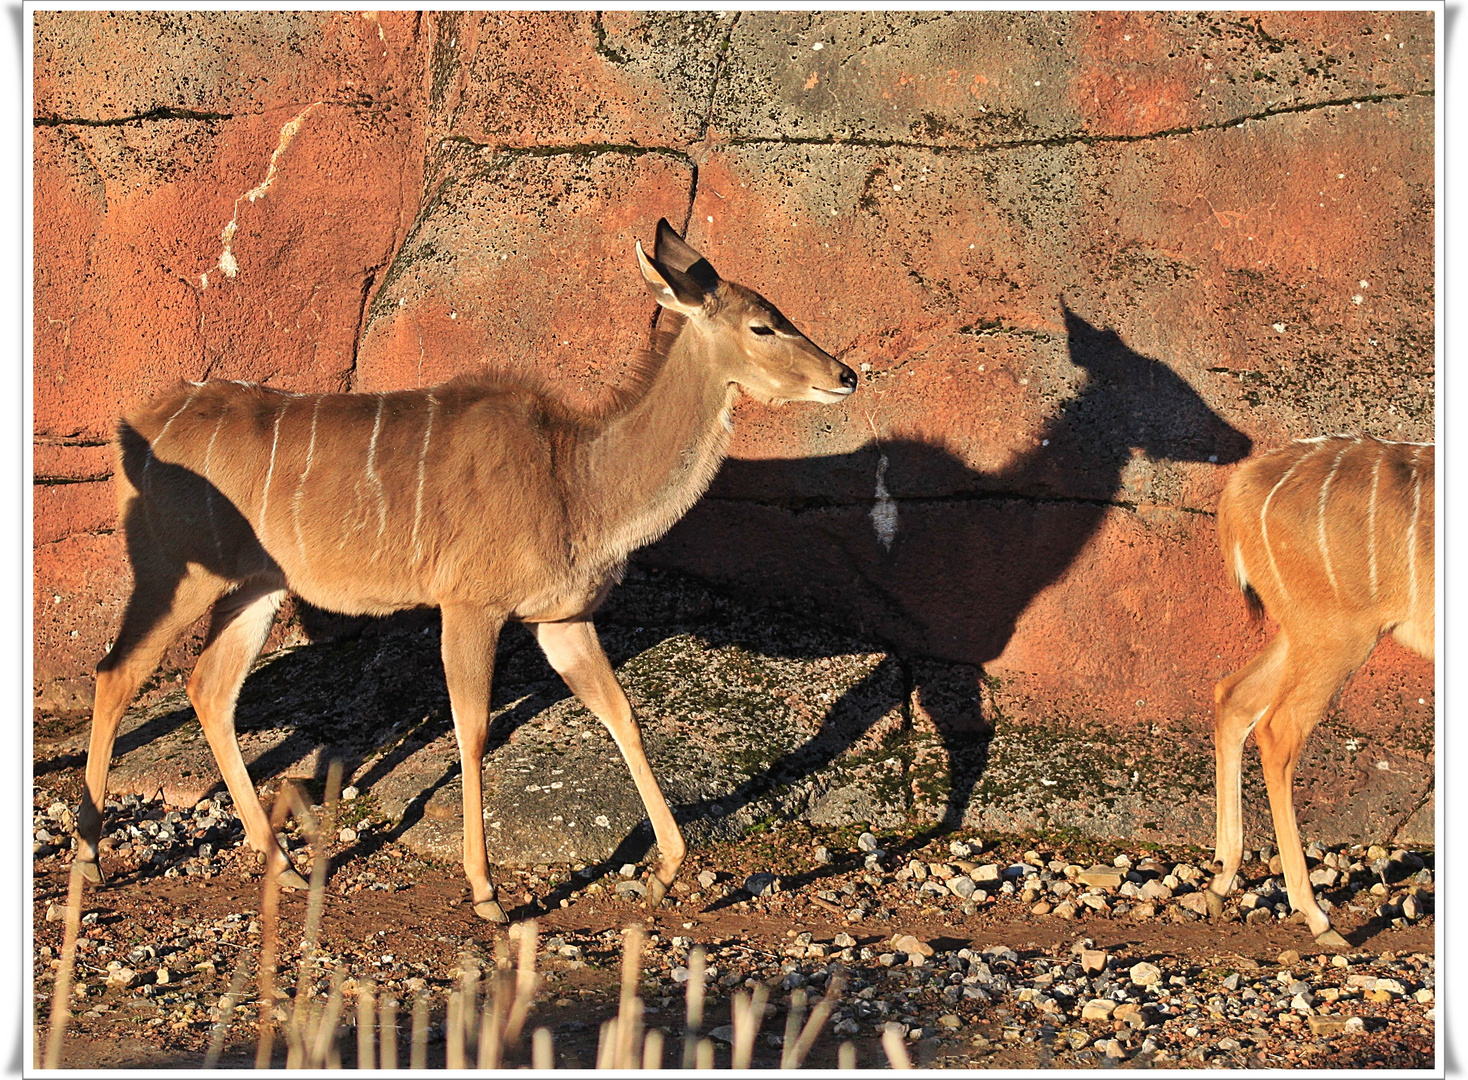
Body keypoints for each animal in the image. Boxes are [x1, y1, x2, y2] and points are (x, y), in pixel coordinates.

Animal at [77, 220, 857, 921]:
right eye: (762, 325)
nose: (846, 375)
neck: (575, 481)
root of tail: (135, 429)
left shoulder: (561, 618)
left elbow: (622, 714)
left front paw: (664, 875)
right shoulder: (470, 605)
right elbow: (473, 730)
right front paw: (486, 894)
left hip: (255, 588)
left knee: (208, 688)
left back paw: (288, 866)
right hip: (175, 572)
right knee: (116, 672)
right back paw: (89, 856)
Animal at [1203, 434, 1432, 950]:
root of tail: (1240, 490)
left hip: (1301, 633)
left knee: (1233, 695)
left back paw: (1221, 883)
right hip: (1336, 636)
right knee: (1277, 729)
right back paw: (1317, 917)